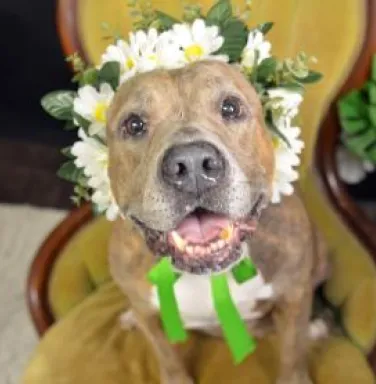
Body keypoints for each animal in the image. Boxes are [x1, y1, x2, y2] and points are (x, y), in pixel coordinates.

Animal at [107, 60, 328, 384]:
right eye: (134, 125)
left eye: (230, 108)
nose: (192, 164)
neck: (209, 274)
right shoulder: (148, 313)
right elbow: (167, 357)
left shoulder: (293, 297)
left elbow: (291, 353)